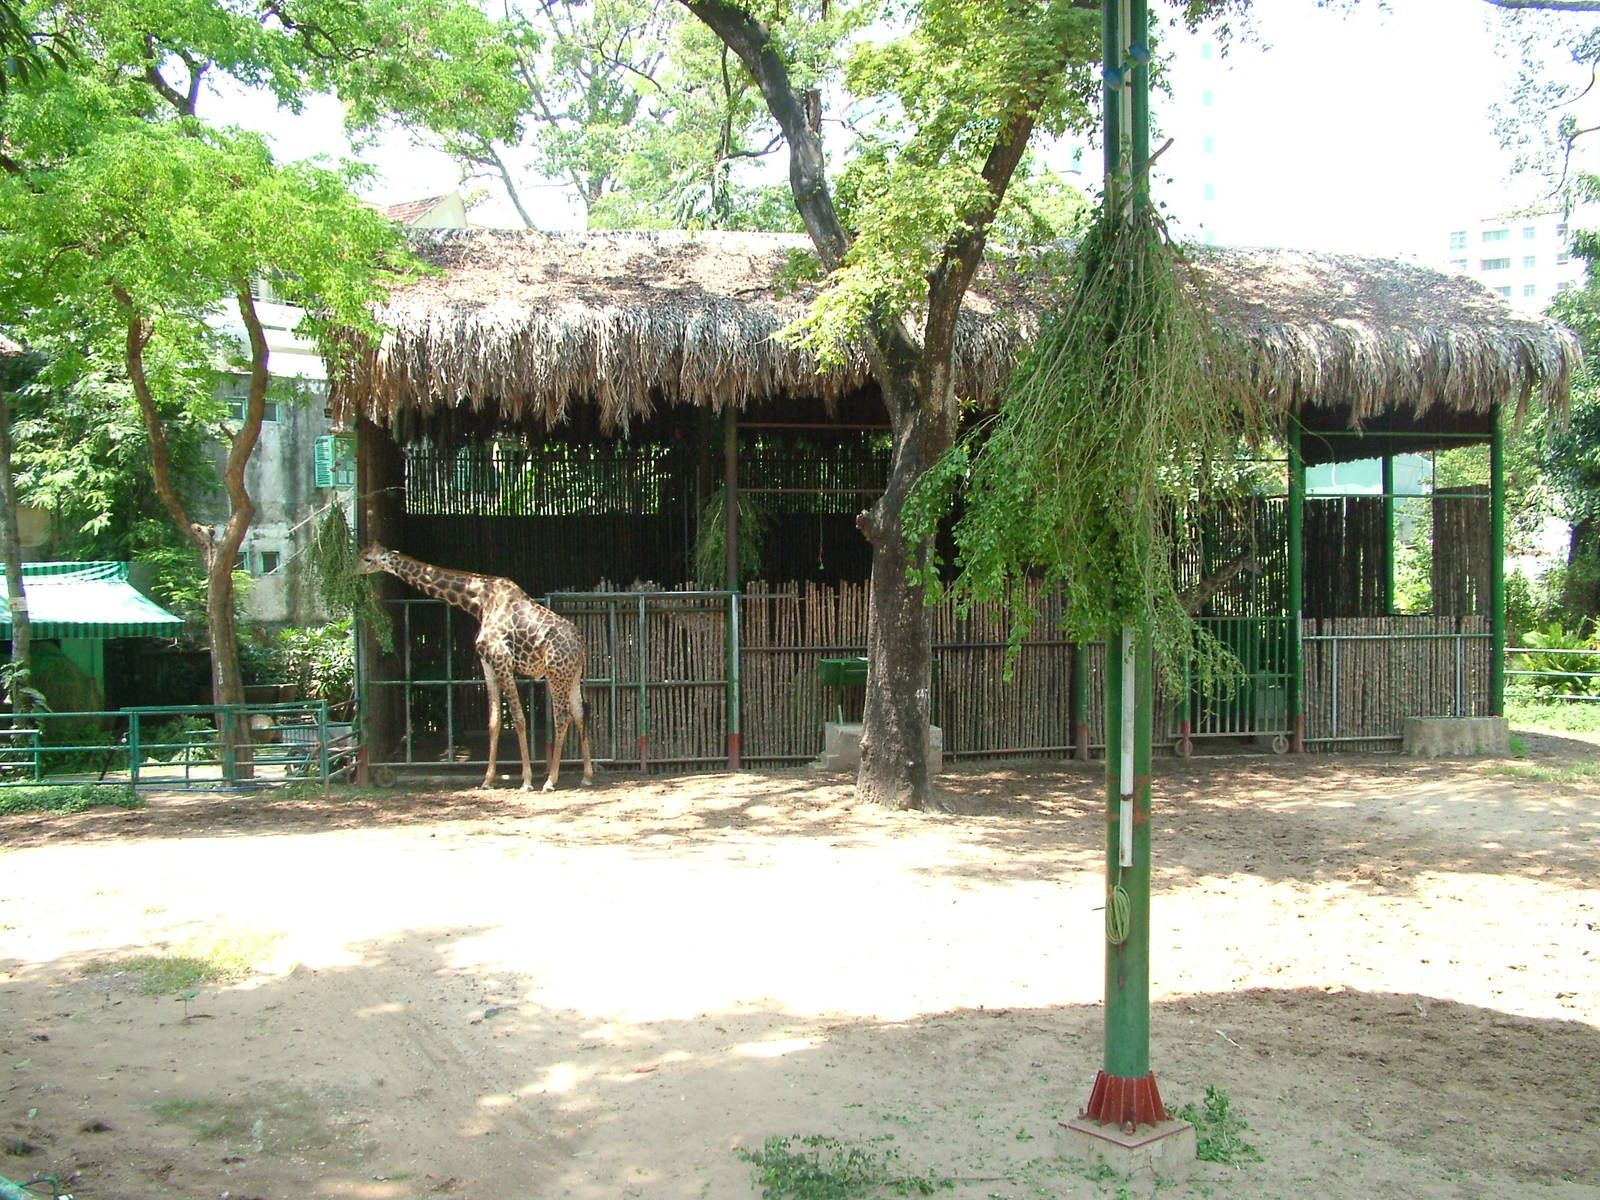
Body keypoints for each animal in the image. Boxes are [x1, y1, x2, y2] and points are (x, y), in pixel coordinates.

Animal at [355, 544, 594, 792]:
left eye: (367, 558)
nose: (352, 572)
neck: (479, 602)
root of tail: (581, 644)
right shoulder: (487, 663)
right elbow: (495, 720)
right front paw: (487, 780)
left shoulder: (502, 661)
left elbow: (518, 718)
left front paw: (527, 780)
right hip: (571, 674)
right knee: (579, 712)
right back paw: (586, 775)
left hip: (556, 674)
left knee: (563, 716)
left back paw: (550, 780)